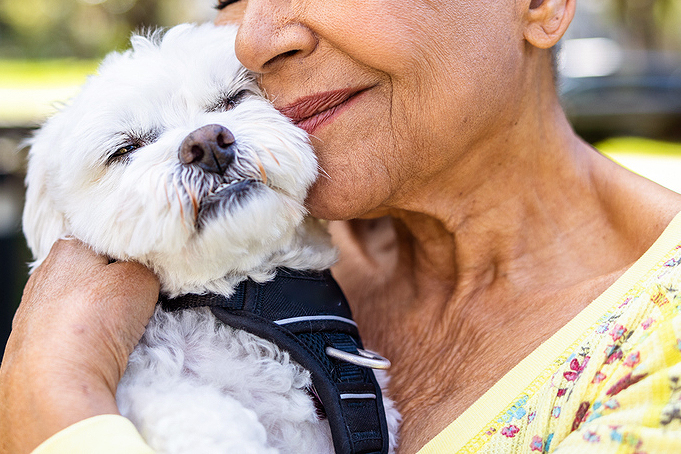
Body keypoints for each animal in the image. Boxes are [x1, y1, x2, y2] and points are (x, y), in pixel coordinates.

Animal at [22, 24, 398, 454]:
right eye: (125, 149)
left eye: (232, 99)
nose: (207, 142)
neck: (233, 291)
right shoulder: (149, 389)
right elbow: (197, 414)